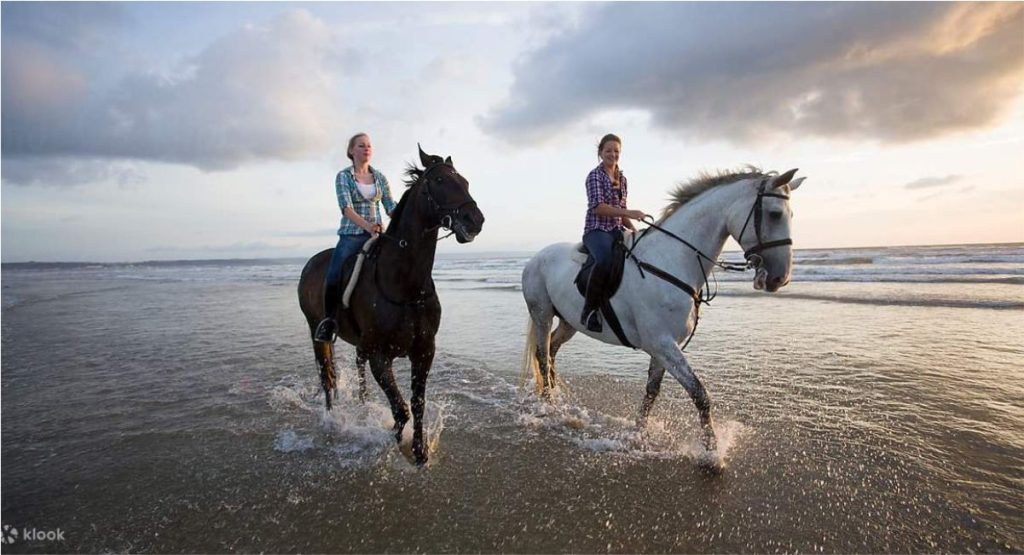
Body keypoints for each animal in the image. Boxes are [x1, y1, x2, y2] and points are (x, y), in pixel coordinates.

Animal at [298, 146, 485, 465]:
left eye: (465, 182)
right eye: (439, 181)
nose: (475, 220)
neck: (404, 284)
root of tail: (311, 262)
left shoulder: (424, 352)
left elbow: (417, 403)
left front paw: (420, 451)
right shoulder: (380, 356)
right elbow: (400, 409)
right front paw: (397, 441)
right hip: (316, 332)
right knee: (327, 377)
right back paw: (332, 419)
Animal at [521, 168, 805, 468]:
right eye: (775, 214)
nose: (780, 278)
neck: (673, 260)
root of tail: (535, 259)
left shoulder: (663, 348)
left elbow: (651, 392)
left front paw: (639, 434)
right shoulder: (663, 345)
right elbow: (700, 394)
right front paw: (712, 454)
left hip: (569, 321)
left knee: (552, 349)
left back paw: (556, 398)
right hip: (542, 314)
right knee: (542, 354)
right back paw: (548, 405)